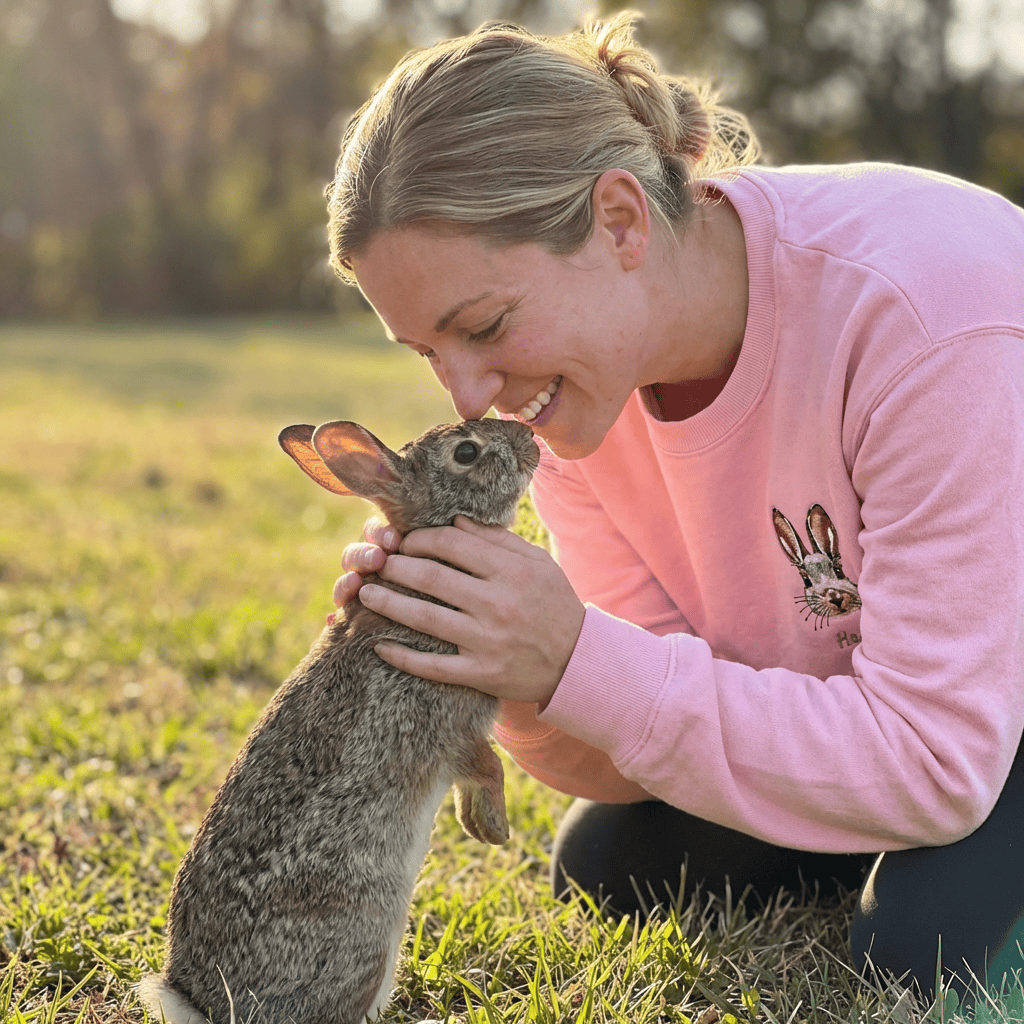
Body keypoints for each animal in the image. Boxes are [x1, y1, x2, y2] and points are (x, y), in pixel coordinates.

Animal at [138, 417, 540, 1024]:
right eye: (466, 452)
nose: (531, 442)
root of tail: (204, 1004)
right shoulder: (447, 722)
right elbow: (487, 766)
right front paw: (494, 829)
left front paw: (476, 824)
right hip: (367, 941)